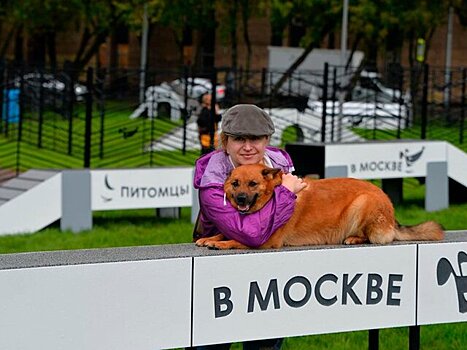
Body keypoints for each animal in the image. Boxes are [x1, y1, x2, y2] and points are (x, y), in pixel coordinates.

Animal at [196, 163, 444, 249]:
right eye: (235, 184)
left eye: (252, 184)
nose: (240, 199)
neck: (274, 194)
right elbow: (226, 232)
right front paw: (210, 238)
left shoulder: (267, 241)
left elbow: (237, 239)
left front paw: (219, 243)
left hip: (363, 203)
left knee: (376, 237)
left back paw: (354, 238)